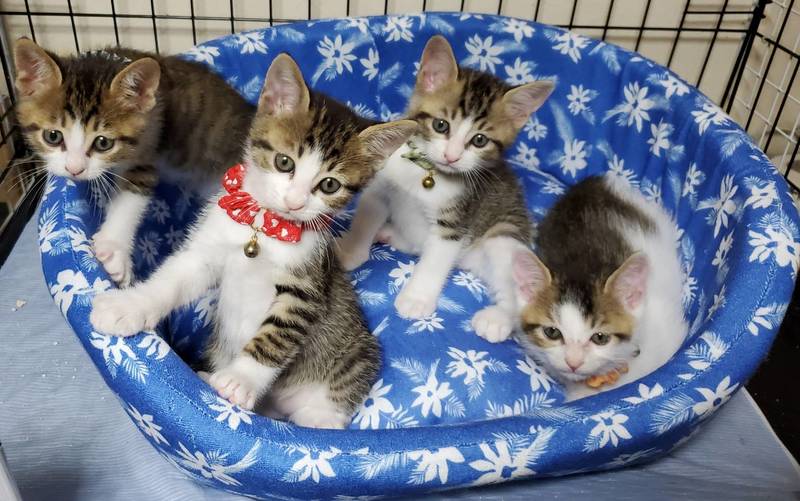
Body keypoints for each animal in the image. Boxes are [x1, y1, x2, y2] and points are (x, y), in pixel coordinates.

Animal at [13, 38, 255, 286]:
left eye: (103, 142)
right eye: (52, 136)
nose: (74, 169)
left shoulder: (149, 144)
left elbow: (130, 196)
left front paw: (113, 249)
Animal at [89, 53, 417, 428]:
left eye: (330, 185)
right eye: (284, 162)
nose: (295, 202)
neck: (263, 229)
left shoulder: (306, 287)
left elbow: (278, 333)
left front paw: (239, 380)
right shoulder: (206, 251)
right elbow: (171, 282)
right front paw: (126, 307)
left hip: (357, 355)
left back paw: (312, 418)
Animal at [337, 35, 554, 343]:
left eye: (479, 140)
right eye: (441, 125)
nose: (452, 157)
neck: (426, 173)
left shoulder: (455, 221)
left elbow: (436, 258)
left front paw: (416, 298)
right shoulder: (380, 188)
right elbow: (365, 220)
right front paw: (351, 251)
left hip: (504, 238)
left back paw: (497, 318)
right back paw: (390, 233)